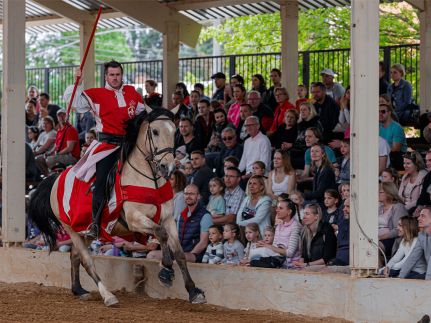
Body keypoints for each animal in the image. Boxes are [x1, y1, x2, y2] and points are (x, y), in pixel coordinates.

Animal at [28, 107, 208, 308]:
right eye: (155, 131)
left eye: (175, 131)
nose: (167, 166)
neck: (149, 180)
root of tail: (55, 179)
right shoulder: (134, 219)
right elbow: (161, 233)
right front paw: (166, 270)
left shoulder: (168, 219)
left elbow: (180, 253)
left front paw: (193, 291)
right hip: (71, 229)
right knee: (87, 261)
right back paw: (107, 295)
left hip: (85, 233)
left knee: (75, 255)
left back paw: (79, 290)